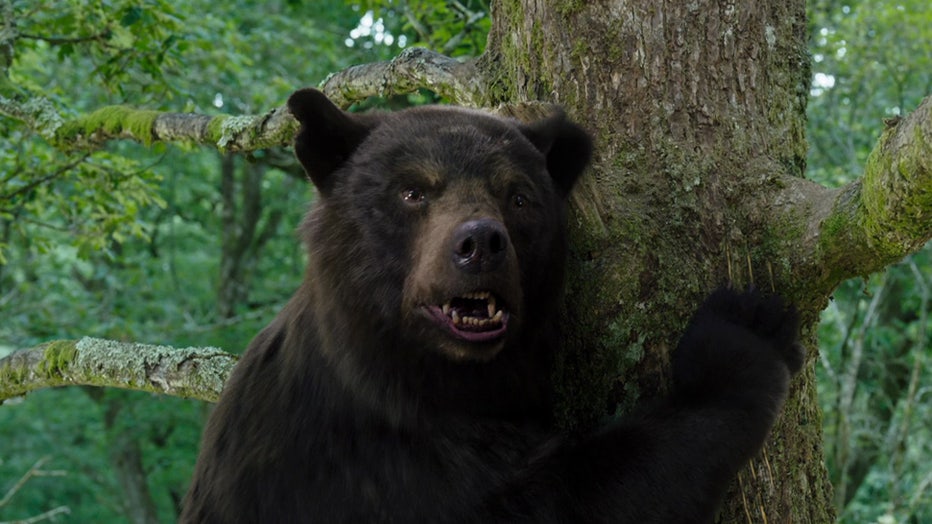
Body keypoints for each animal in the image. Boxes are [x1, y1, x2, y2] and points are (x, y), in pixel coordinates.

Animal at [180, 88, 804, 523]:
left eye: (518, 196)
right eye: (412, 190)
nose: (480, 243)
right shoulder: (370, 461)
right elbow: (572, 493)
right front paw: (742, 333)